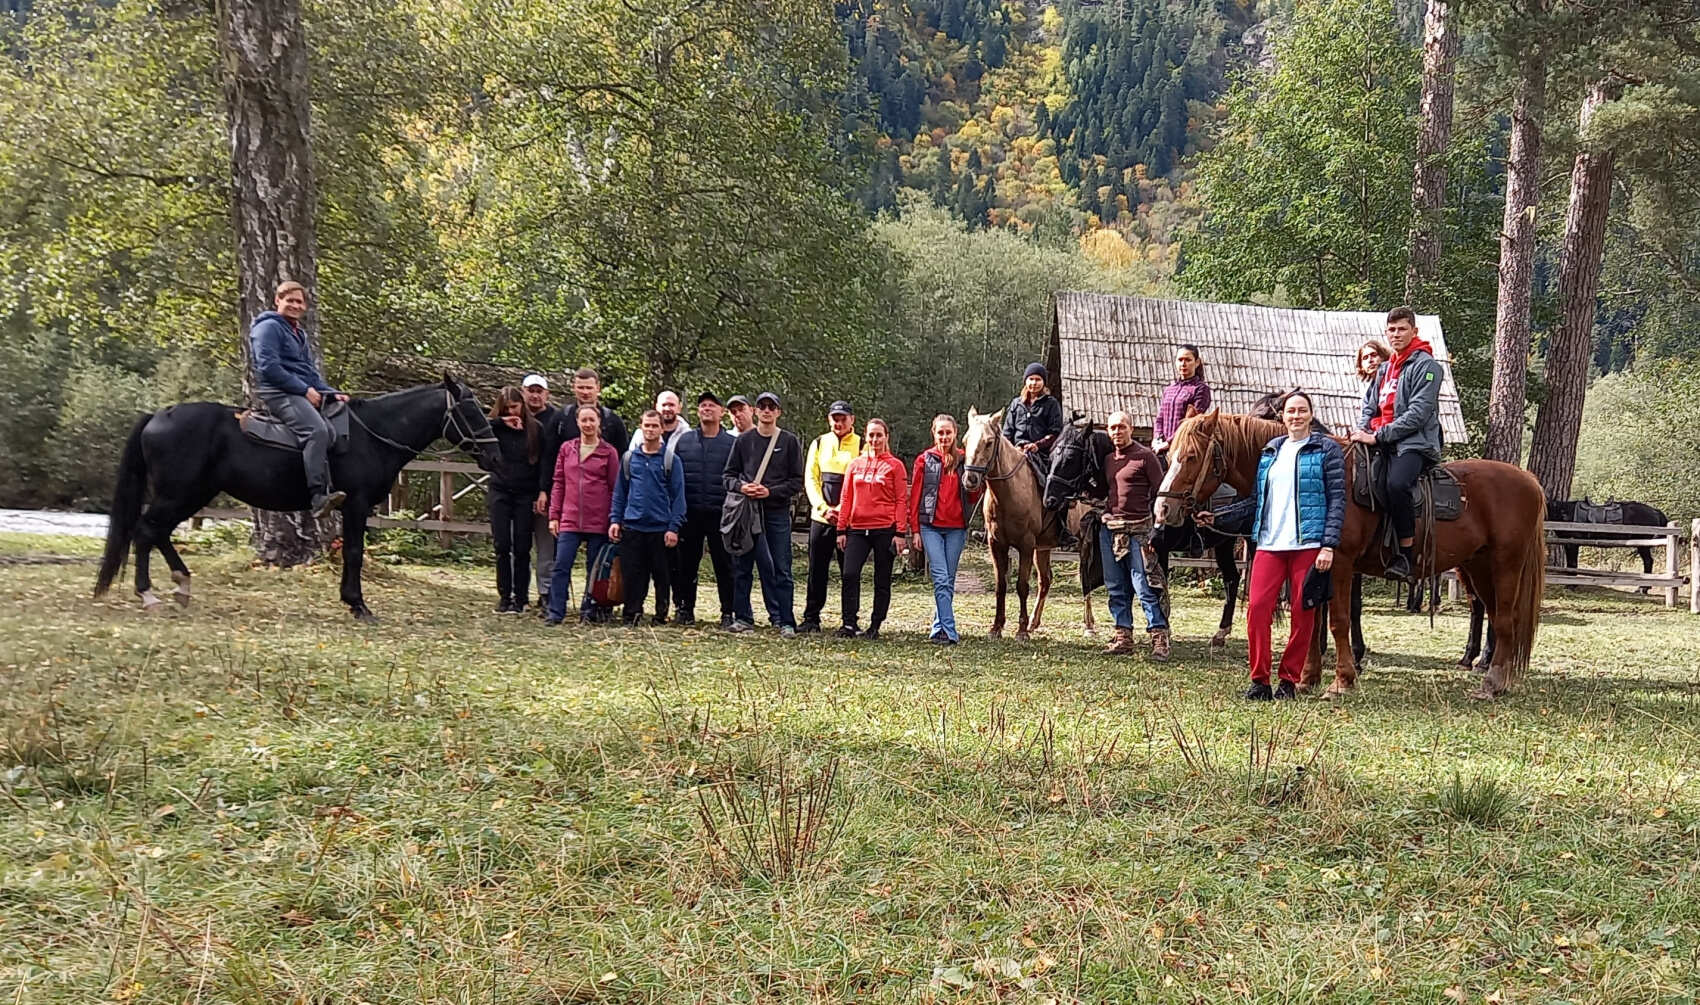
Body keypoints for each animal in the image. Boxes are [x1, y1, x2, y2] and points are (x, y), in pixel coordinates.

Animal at [96, 377, 499, 622]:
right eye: (471, 411)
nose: (494, 456)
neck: (374, 434)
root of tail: (157, 416)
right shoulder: (356, 505)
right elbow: (354, 552)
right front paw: (358, 604)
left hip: (192, 494)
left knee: (157, 533)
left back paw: (181, 585)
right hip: (179, 493)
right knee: (146, 532)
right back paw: (149, 594)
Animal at [965, 406, 1054, 635]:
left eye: (988, 442)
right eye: (965, 440)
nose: (970, 479)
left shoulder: (1026, 545)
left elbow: (1022, 586)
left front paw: (1021, 630)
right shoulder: (996, 544)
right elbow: (1001, 585)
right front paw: (996, 626)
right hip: (1043, 548)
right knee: (1045, 580)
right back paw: (1034, 622)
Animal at [1156, 408, 1543, 700]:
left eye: (1190, 456)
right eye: (1169, 456)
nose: (1162, 509)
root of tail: (1529, 481)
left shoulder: (1339, 563)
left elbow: (1338, 620)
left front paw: (1342, 680)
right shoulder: (1314, 566)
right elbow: (1313, 622)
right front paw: (1307, 678)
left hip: (1505, 566)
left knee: (1504, 620)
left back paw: (1491, 682)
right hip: (1478, 567)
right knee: (1494, 615)